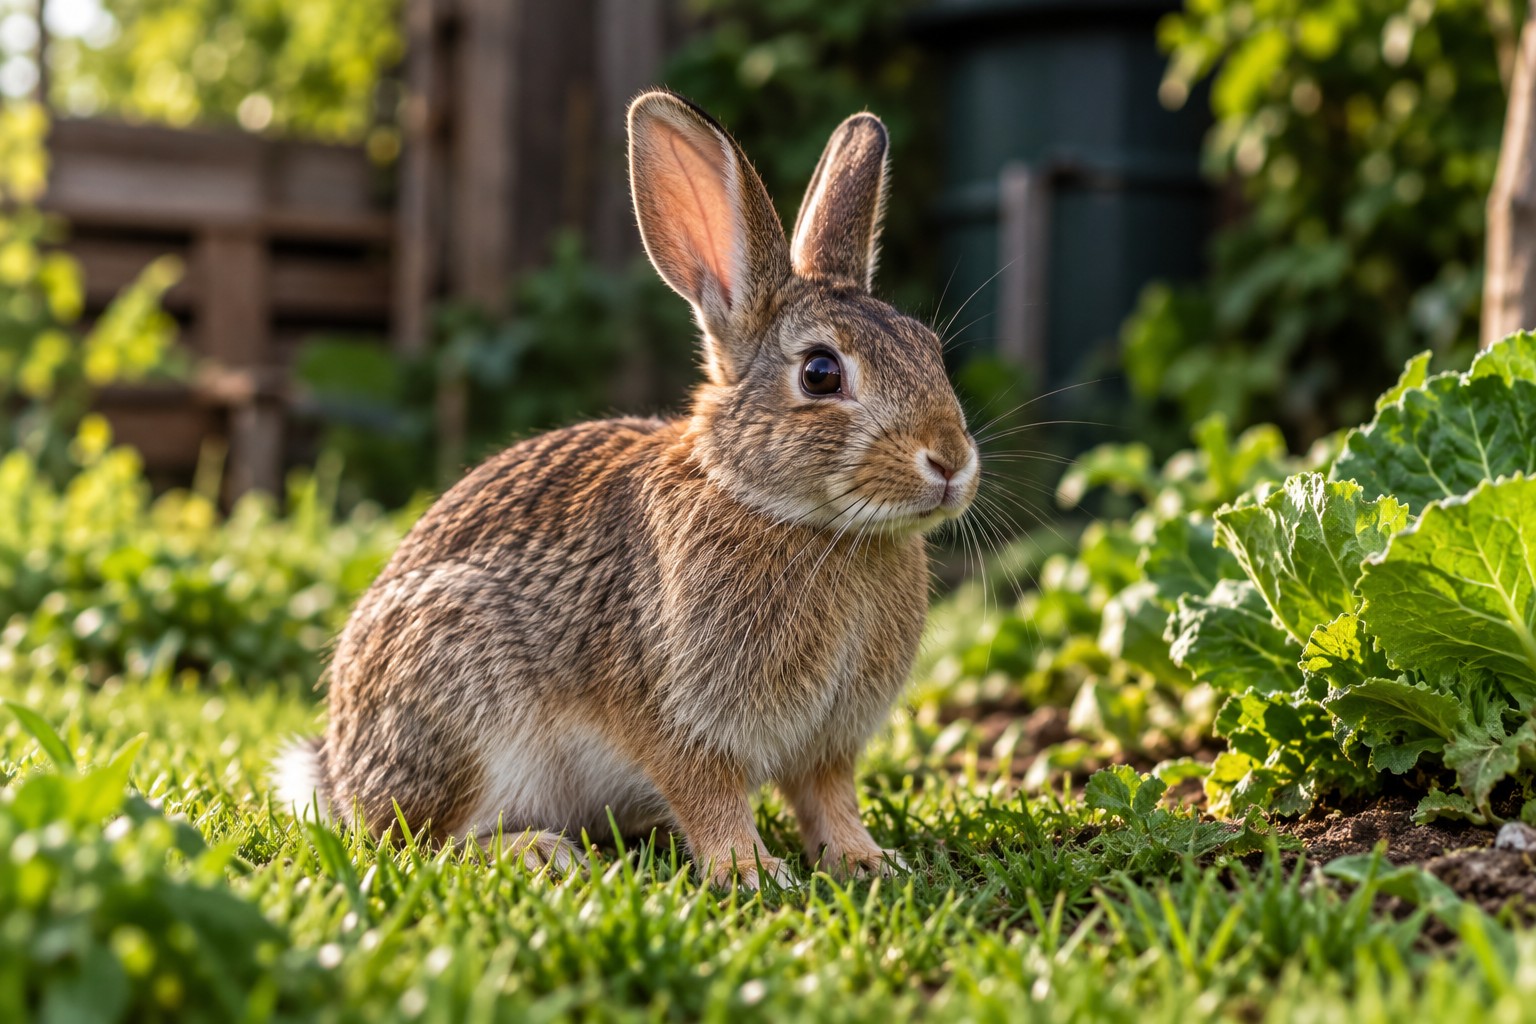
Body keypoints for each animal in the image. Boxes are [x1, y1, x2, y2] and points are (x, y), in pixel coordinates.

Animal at [274, 89, 979, 888]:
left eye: (929, 349)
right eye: (821, 373)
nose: (950, 462)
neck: (793, 515)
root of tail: (340, 775)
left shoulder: (826, 742)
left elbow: (828, 799)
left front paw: (866, 859)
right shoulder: (675, 717)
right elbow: (709, 795)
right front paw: (750, 872)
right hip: (458, 700)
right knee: (421, 838)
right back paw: (539, 851)